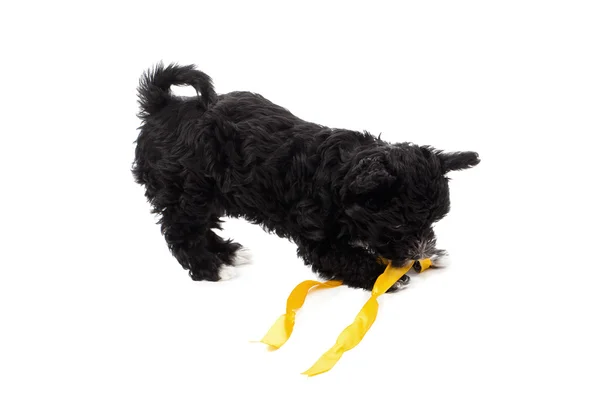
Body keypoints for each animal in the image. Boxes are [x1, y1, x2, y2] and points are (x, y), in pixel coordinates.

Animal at [134, 64, 480, 292]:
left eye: (431, 221)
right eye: (397, 225)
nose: (419, 253)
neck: (339, 178)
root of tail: (163, 105)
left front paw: (430, 257)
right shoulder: (318, 237)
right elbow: (344, 257)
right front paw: (381, 274)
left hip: (207, 195)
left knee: (200, 226)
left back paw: (228, 253)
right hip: (187, 191)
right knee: (181, 231)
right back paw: (211, 267)